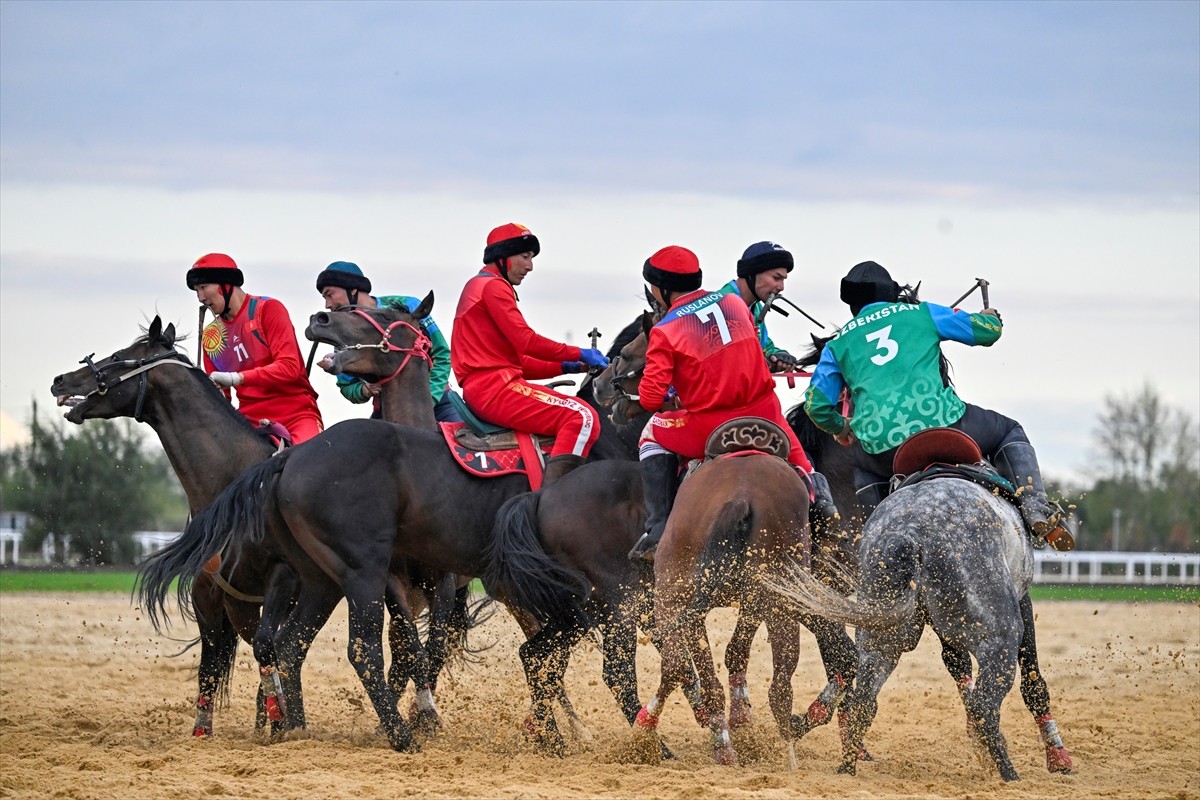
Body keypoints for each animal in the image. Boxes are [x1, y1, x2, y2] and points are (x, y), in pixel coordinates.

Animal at [140, 311, 657, 753]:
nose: (319, 320)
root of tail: (291, 457)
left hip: (319, 580)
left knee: (288, 647)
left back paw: (293, 728)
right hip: (359, 573)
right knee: (362, 650)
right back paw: (399, 733)